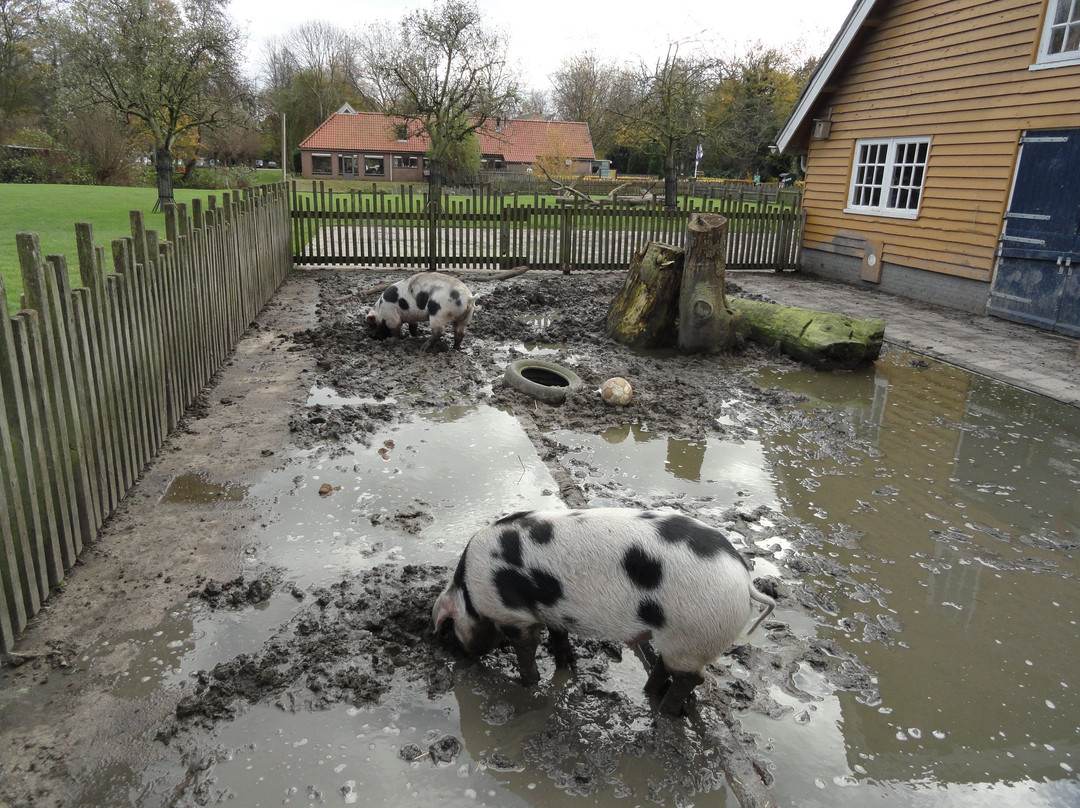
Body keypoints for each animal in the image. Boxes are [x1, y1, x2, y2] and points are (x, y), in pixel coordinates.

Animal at [432, 507, 777, 717]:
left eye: (450, 627)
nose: (463, 655)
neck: (469, 589)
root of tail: (745, 580)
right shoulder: (553, 612)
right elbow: (559, 636)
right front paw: (567, 665)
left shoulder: (515, 616)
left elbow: (526, 649)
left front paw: (528, 684)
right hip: (680, 637)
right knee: (666, 666)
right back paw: (648, 693)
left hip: (693, 635)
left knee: (691, 677)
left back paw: (664, 712)